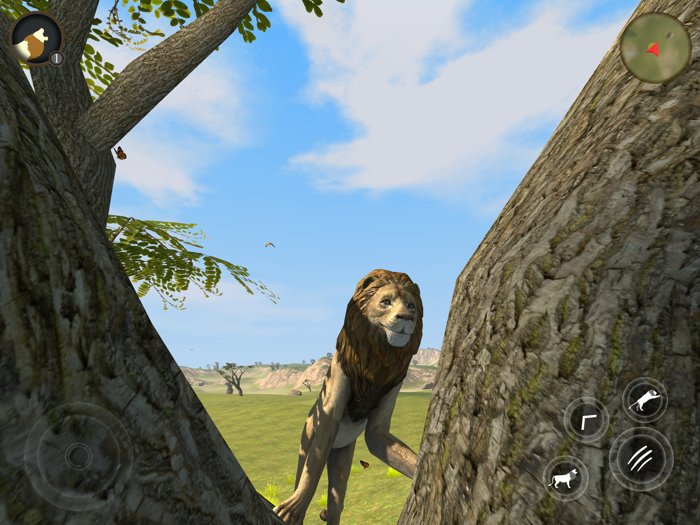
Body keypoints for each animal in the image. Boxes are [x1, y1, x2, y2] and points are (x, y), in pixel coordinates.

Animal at [274, 269, 423, 525]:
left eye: (411, 305)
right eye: (386, 302)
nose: (406, 317)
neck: (379, 353)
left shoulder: (395, 384)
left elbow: (378, 436)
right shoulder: (336, 381)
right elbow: (311, 472)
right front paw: (294, 507)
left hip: (342, 453)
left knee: (336, 502)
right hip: (308, 435)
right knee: (304, 470)